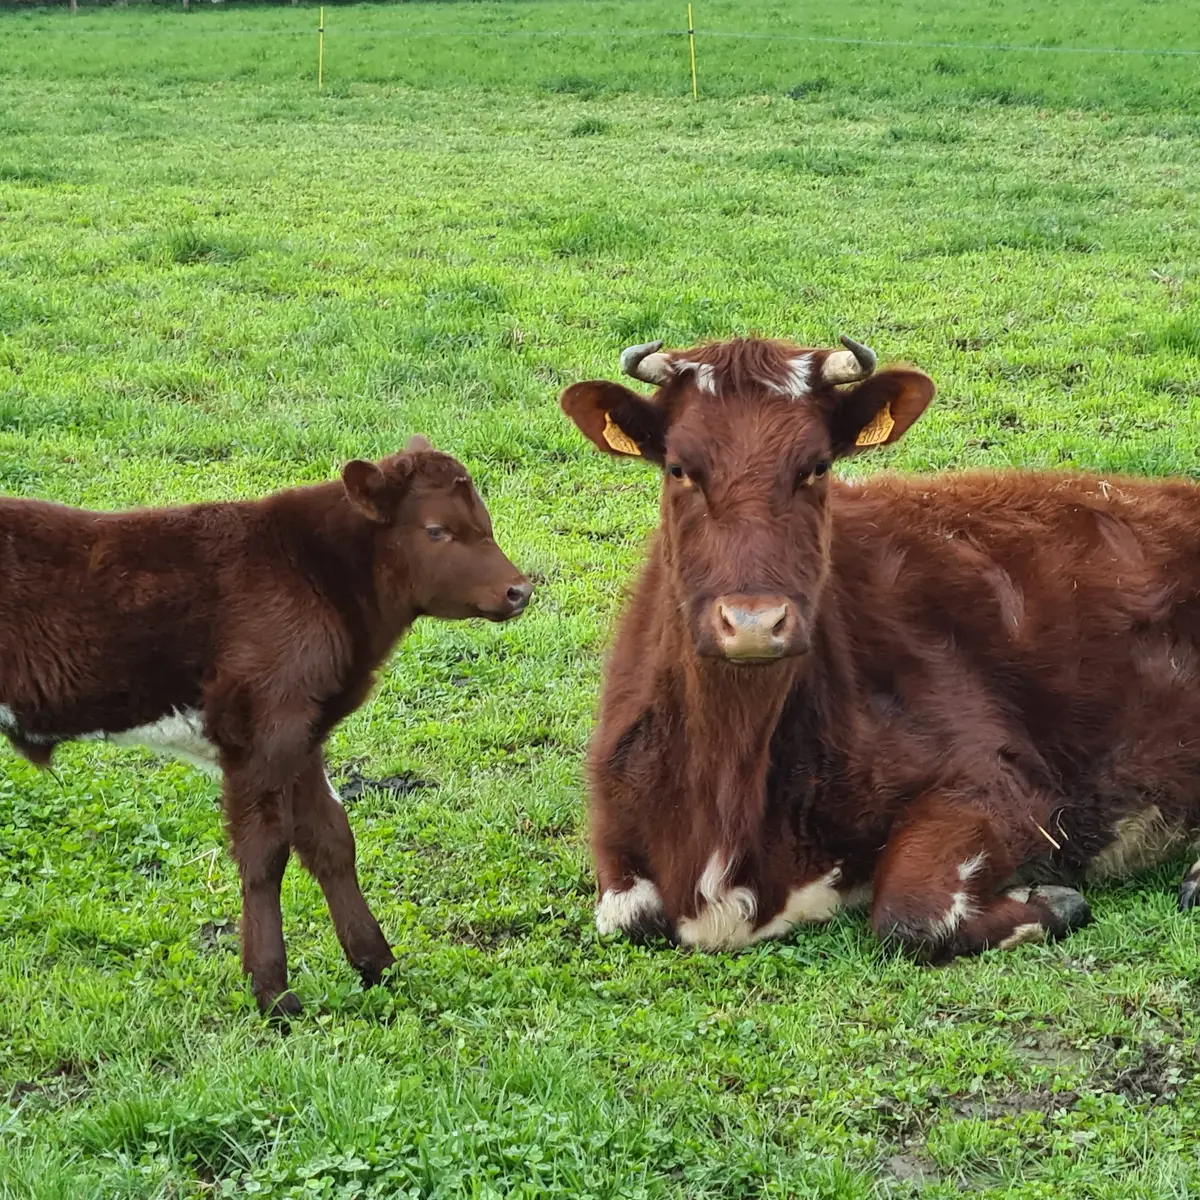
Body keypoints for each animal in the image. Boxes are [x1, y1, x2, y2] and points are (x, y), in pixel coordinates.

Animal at [0, 436, 531, 1017]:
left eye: (484, 520)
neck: (316, 575)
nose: (519, 590)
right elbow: (264, 853)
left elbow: (330, 838)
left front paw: (378, 965)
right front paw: (273, 993)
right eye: (436, 530)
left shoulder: (303, 732)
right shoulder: (264, 730)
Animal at [560, 336, 1200, 961]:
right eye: (679, 468)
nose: (753, 622)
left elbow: (909, 912)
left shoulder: (1004, 783)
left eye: (817, 466)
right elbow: (629, 916)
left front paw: (1054, 901)